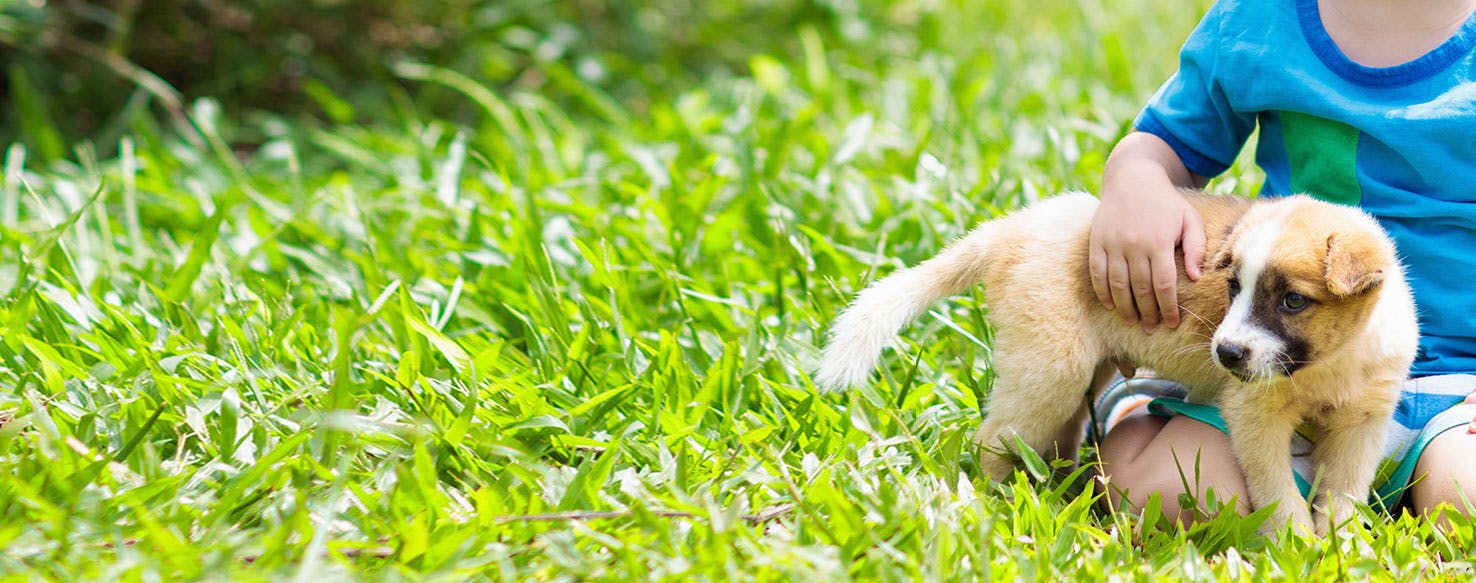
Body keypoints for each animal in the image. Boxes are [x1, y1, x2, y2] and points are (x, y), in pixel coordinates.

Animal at [820, 190, 1416, 534]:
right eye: (1232, 287)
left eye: (1293, 300)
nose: (1224, 353)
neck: (1331, 362)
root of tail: (1008, 231)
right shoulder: (1255, 415)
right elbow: (1278, 492)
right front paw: (1296, 547)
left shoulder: (1363, 422)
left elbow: (1344, 494)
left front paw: (1340, 547)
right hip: (1051, 367)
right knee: (992, 441)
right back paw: (992, 505)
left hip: (1079, 370)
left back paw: (1056, 490)